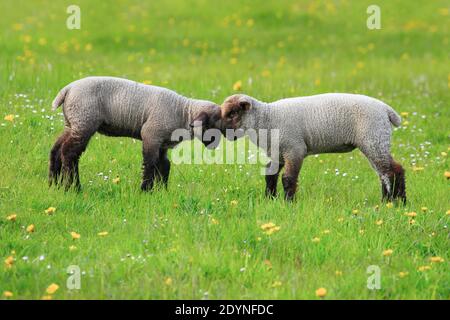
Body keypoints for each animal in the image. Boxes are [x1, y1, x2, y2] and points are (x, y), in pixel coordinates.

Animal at [49, 76, 221, 191]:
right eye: (214, 123)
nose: (216, 145)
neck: (183, 112)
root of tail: (67, 89)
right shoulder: (151, 134)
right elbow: (150, 163)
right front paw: (145, 190)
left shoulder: (161, 141)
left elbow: (164, 164)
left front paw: (161, 191)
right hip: (84, 121)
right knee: (69, 153)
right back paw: (73, 187)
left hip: (72, 123)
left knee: (56, 150)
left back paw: (53, 184)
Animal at [221, 93, 408, 202]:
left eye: (233, 113)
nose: (222, 132)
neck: (266, 118)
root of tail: (387, 111)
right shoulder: (277, 154)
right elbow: (270, 176)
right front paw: (270, 199)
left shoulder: (294, 149)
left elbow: (288, 179)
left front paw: (289, 203)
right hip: (375, 141)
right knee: (385, 173)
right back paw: (390, 201)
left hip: (374, 138)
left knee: (392, 171)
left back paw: (395, 203)